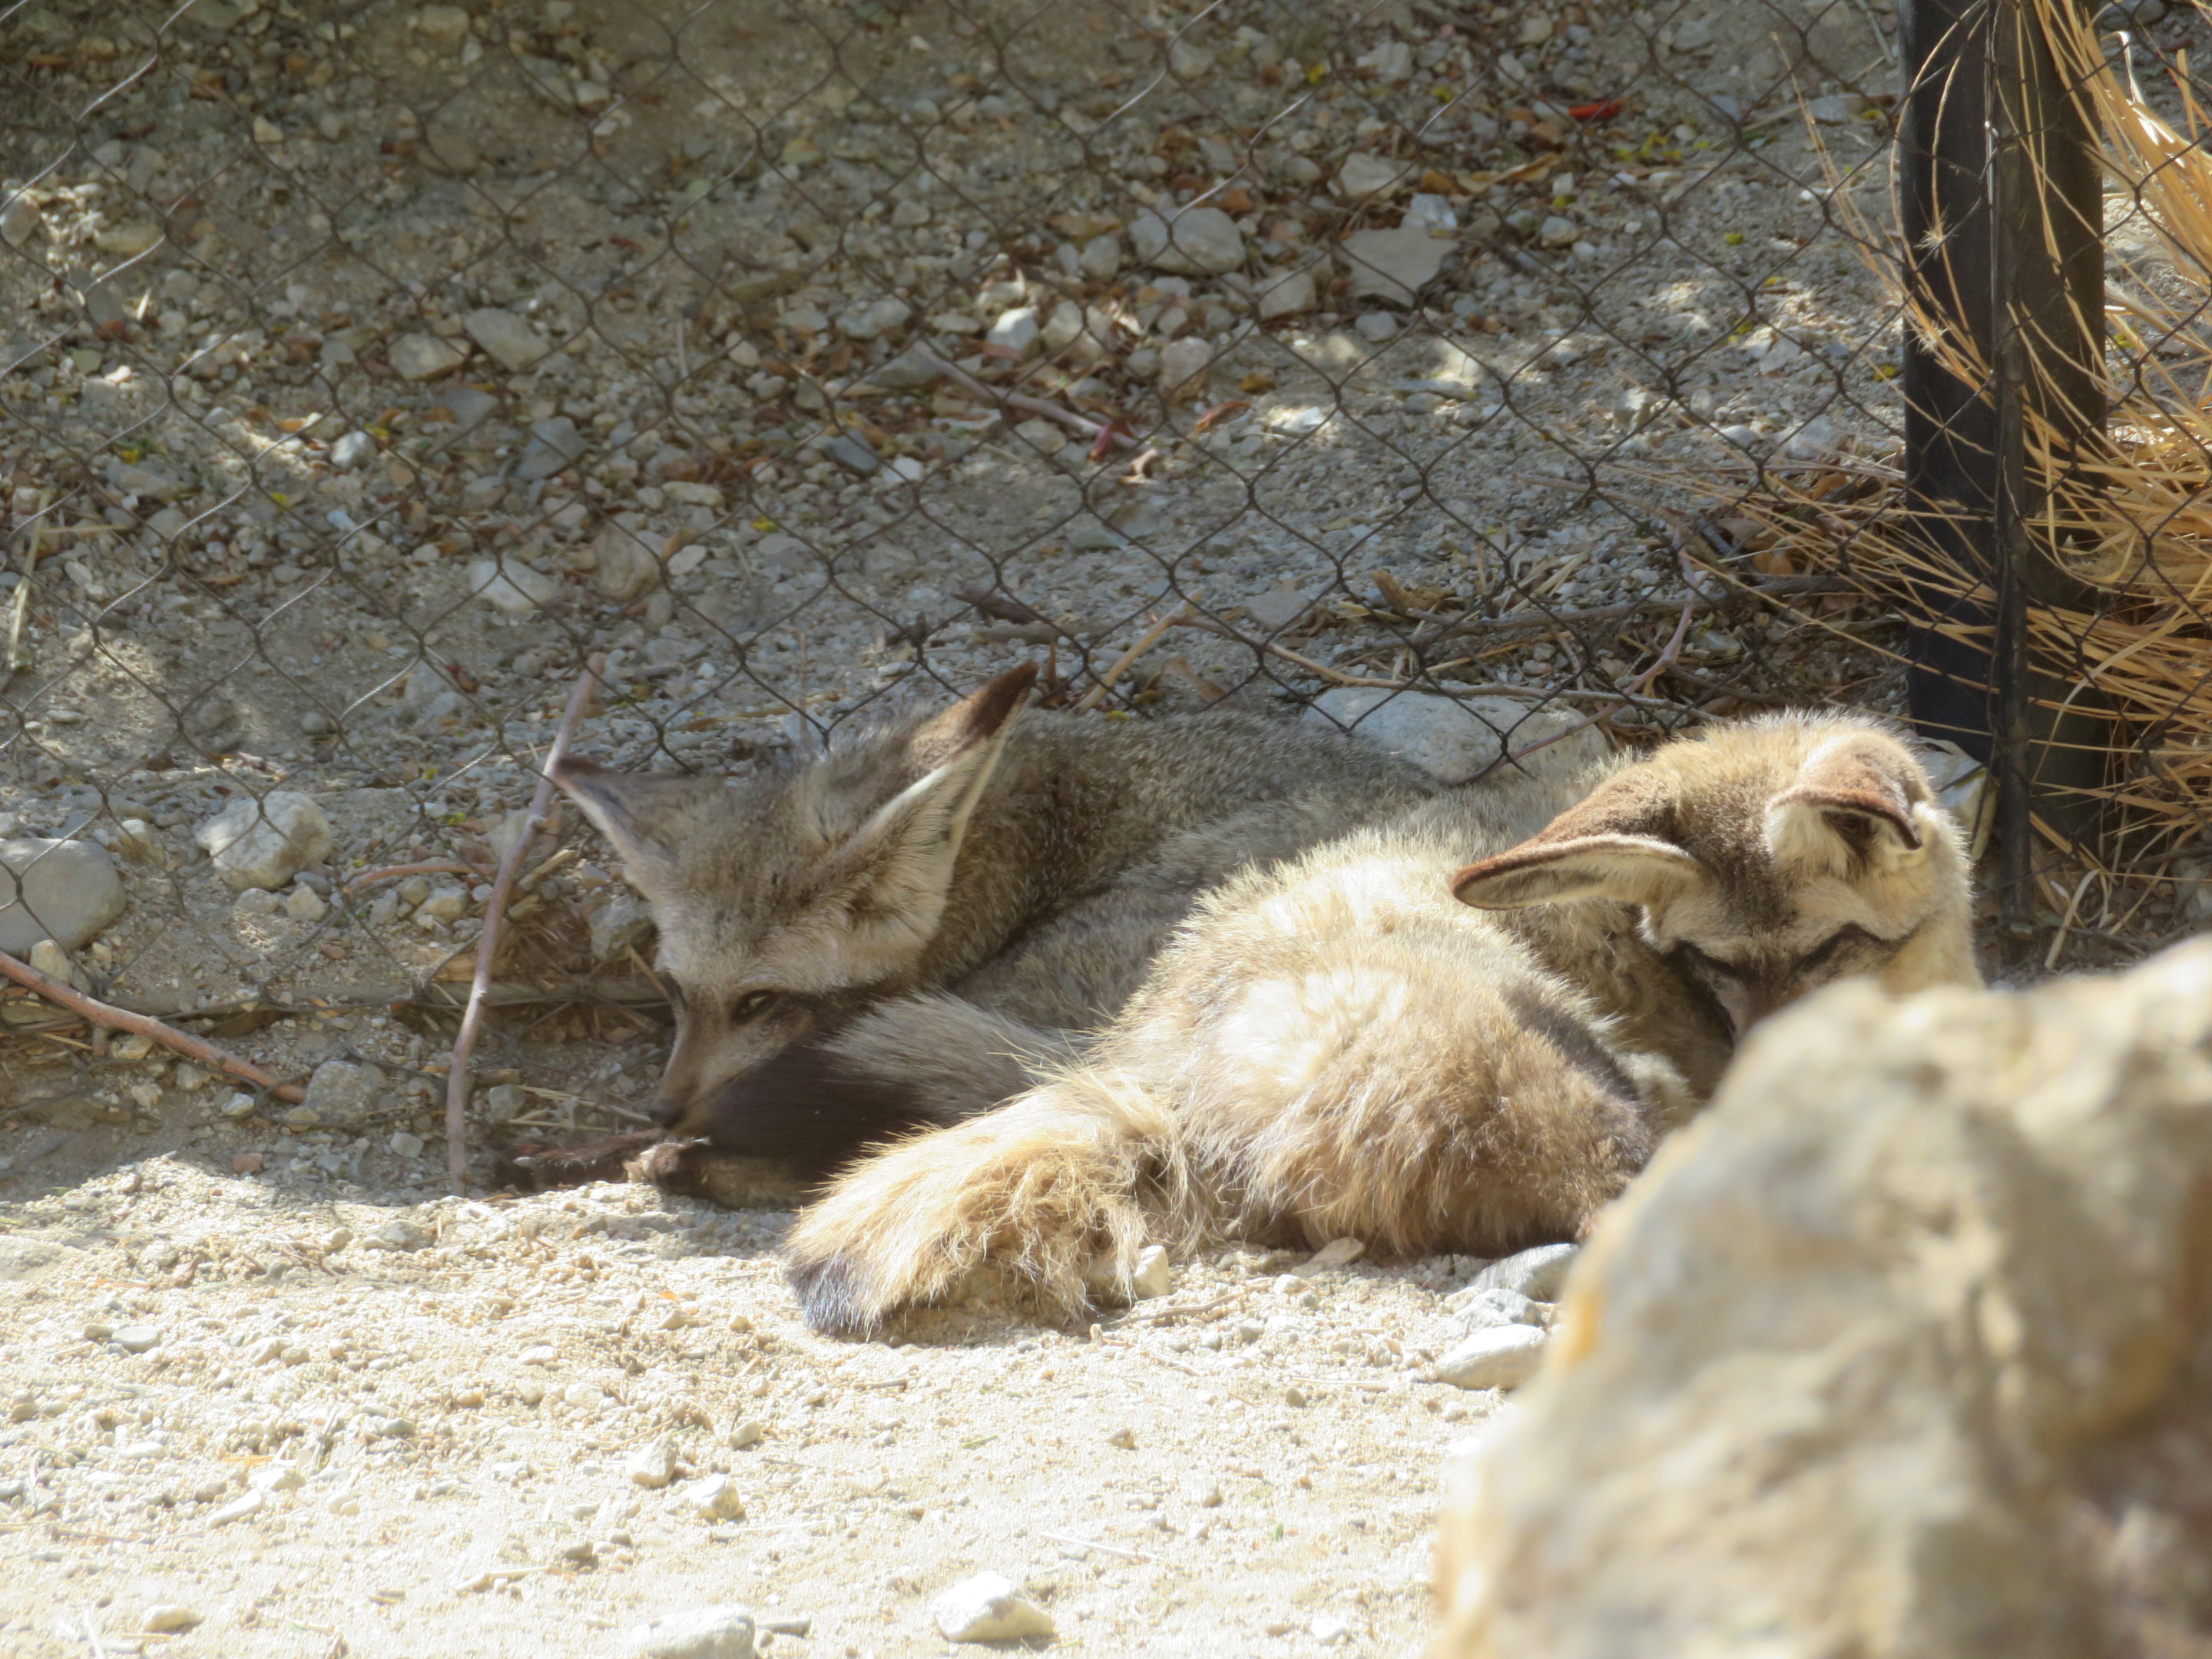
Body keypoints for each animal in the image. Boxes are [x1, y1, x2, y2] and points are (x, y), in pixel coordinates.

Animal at [782, 712, 1981, 1335]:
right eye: (1717, 967)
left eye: (1829, 951)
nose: (1769, 1068)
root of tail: (1151, 1075)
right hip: (1574, 1088)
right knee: (1625, 1218)